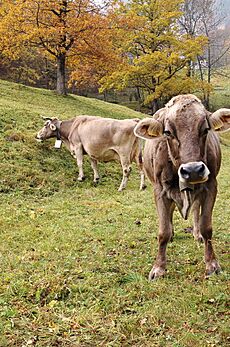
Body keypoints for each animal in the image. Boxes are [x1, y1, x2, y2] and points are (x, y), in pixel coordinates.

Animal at [134, 94, 230, 280]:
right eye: (168, 132)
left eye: (205, 129)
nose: (193, 170)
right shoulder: (160, 190)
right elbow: (163, 231)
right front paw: (159, 268)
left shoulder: (211, 186)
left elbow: (206, 226)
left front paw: (212, 264)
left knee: (196, 211)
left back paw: (196, 234)